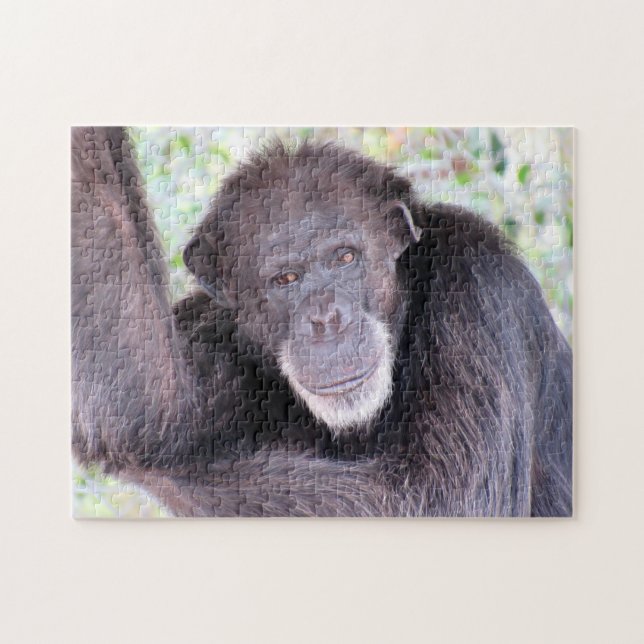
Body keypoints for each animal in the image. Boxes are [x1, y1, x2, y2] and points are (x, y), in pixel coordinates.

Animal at [71, 126, 572, 517]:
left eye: (344, 257)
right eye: (286, 279)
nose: (327, 319)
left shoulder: (478, 284)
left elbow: (444, 498)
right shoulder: (208, 330)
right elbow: (146, 406)